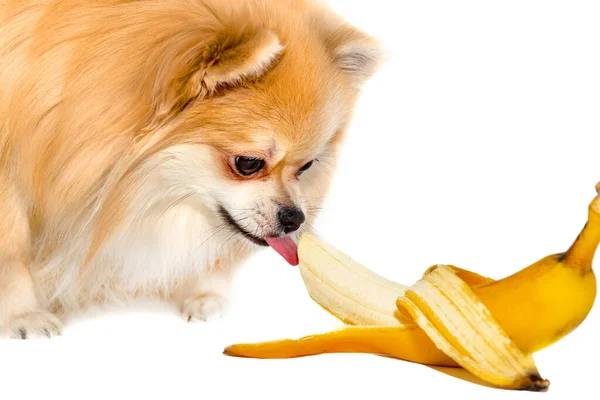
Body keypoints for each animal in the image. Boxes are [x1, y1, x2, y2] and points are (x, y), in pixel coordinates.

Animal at [0, 0, 382, 340]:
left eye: (306, 166)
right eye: (248, 164)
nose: (295, 217)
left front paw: (202, 295)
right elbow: (13, 254)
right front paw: (24, 315)